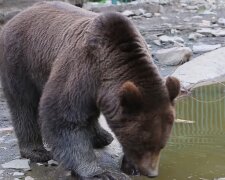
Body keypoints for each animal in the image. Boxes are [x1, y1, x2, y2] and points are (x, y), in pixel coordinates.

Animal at [0, 1, 180, 179]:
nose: (151, 172)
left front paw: (129, 166)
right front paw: (99, 173)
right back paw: (37, 151)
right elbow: (64, 118)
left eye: (161, 145)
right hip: (21, 60)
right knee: (23, 104)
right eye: (142, 144)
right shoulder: (81, 69)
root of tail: (17, 16)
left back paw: (102, 136)